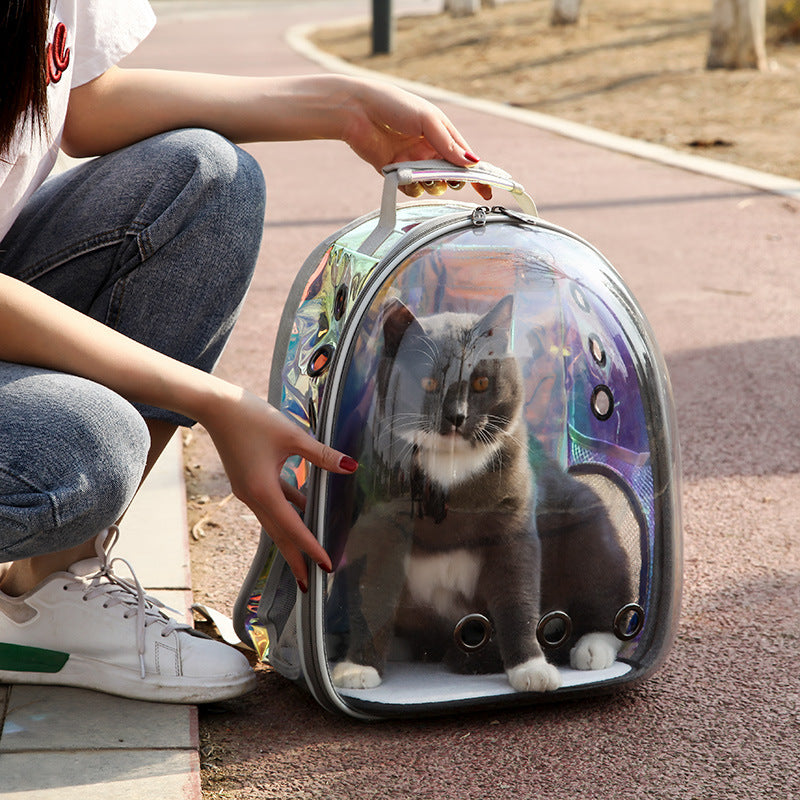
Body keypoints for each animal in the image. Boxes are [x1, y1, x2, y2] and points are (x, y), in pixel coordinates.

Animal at [330, 296, 632, 692]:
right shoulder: (377, 528)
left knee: (612, 604)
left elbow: (517, 598)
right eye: (429, 382)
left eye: (481, 382)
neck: (450, 467)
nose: (456, 416)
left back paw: (593, 647)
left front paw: (530, 668)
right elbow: (373, 595)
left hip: (589, 525)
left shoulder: (512, 526)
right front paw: (358, 666)